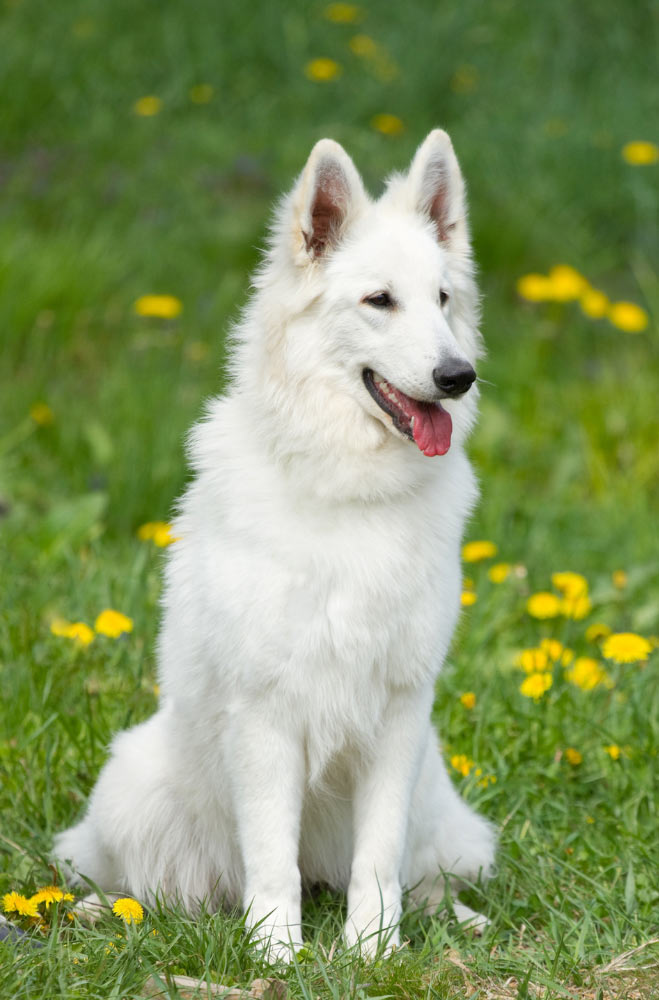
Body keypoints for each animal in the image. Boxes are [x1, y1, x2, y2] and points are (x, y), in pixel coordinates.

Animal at [55, 129, 496, 956]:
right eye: (379, 300)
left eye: (443, 299)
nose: (458, 375)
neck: (351, 490)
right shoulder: (266, 718)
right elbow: (269, 854)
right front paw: (278, 952)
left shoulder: (398, 715)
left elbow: (378, 854)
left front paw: (372, 949)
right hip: (133, 784)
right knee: (152, 883)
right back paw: (106, 910)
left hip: (434, 790)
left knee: (421, 868)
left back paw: (449, 916)